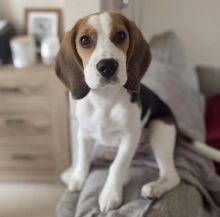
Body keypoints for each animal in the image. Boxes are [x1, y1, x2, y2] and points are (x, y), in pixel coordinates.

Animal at [55, 11, 220, 211]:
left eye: (120, 36)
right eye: (84, 40)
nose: (107, 66)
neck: (105, 100)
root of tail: (177, 128)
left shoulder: (129, 136)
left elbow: (118, 166)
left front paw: (110, 194)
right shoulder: (84, 133)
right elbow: (84, 157)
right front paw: (78, 178)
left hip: (160, 129)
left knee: (172, 175)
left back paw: (154, 187)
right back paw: (107, 154)